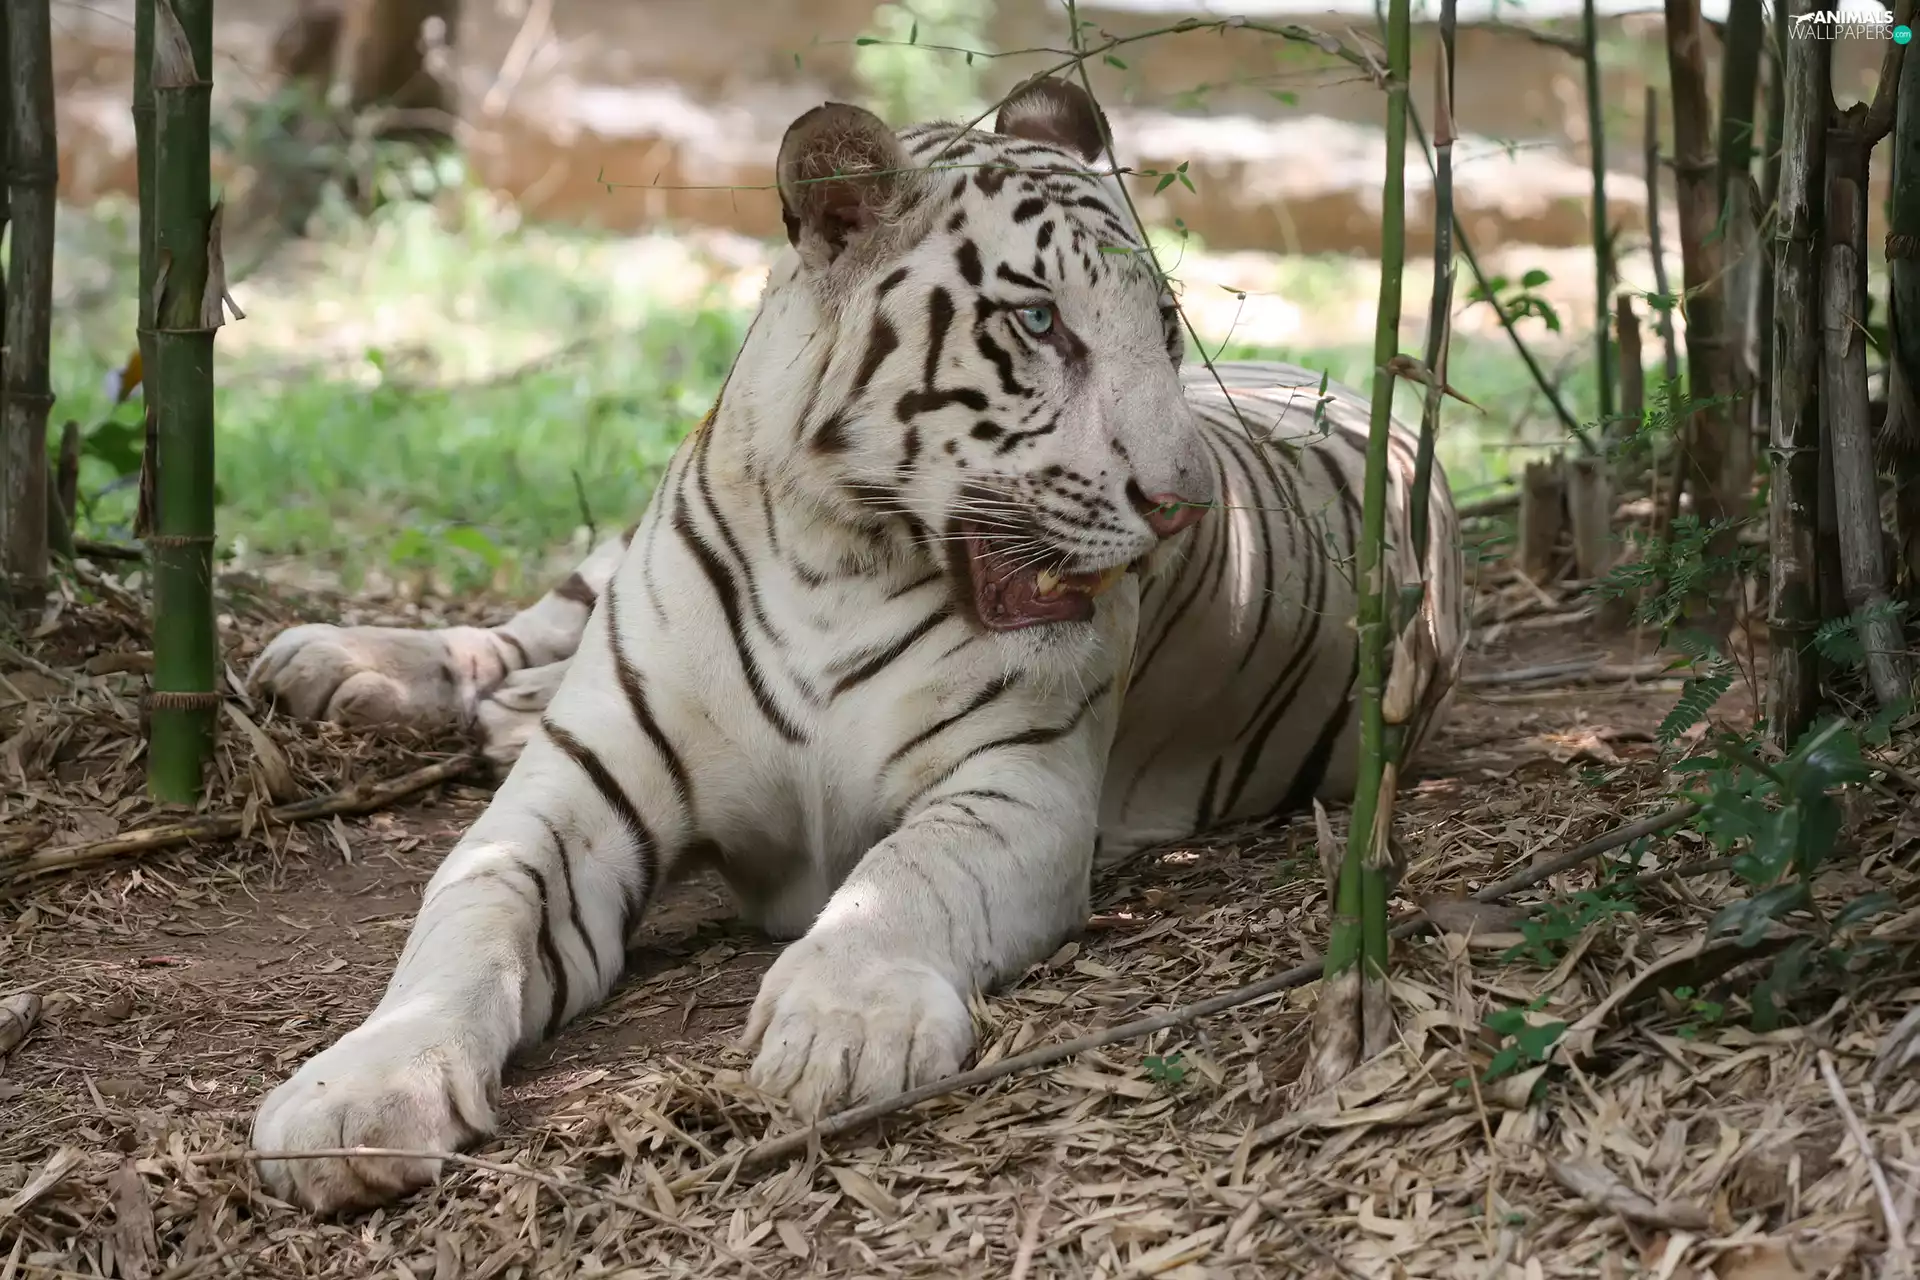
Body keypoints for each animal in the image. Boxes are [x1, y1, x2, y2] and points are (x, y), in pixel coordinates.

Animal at [245, 74, 1467, 1214]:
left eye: (1163, 327)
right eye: (1040, 325)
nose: (1185, 505)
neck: (835, 557)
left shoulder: (1016, 785)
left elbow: (904, 878)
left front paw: (844, 1026)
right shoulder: (576, 796)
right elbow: (463, 918)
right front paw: (357, 1097)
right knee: (527, 624)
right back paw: (344, 665)